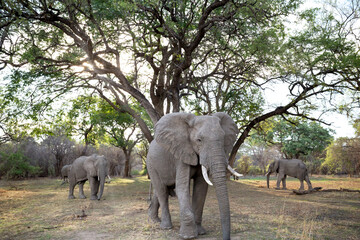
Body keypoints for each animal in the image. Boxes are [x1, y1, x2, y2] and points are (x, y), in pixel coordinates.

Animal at [146, 112, 242, 240]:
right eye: (199, 140)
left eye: (223, 139)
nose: (226, 238)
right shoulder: (181, 154)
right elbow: (182, 188)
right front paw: (188, 236)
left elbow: (201, 188)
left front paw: (200, 232)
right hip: (151, 165)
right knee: (161, 190)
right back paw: (166, 227)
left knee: (161, 189)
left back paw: (155, 220)